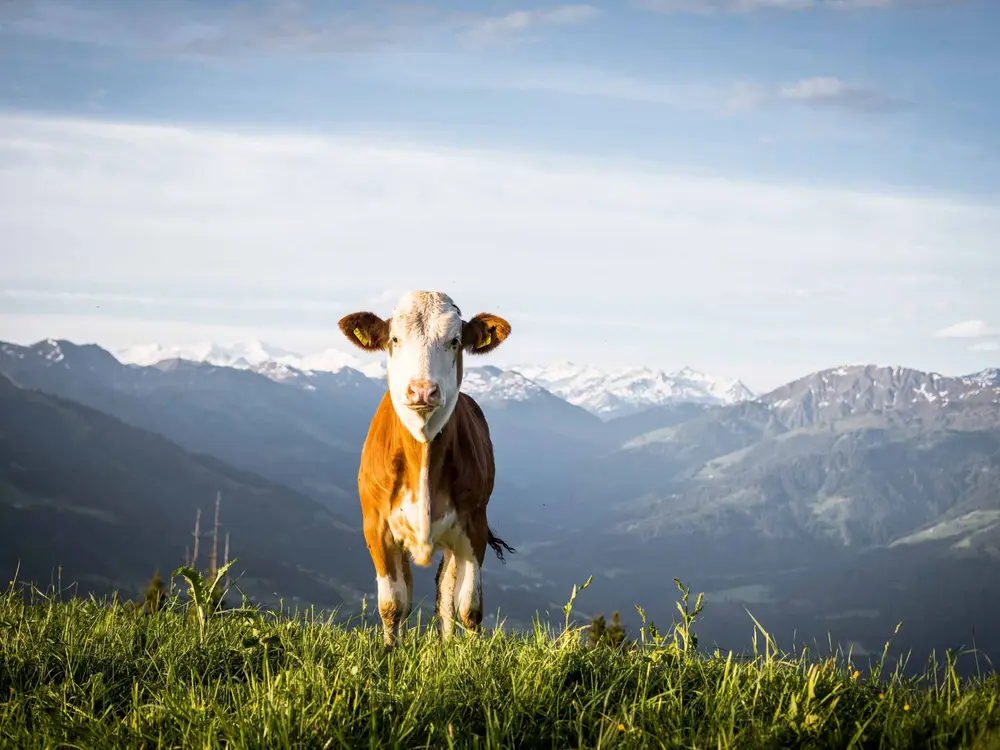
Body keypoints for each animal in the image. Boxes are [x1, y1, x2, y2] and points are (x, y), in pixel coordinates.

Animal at [337, 290, 515, 647]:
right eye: (394, 339)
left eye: (455, 340)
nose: (422, 390)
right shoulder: (376, 526)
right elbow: (393, 603)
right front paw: (390, 650)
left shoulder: (473, 525)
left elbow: (468, 606)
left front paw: (471, 654)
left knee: (446, 592)